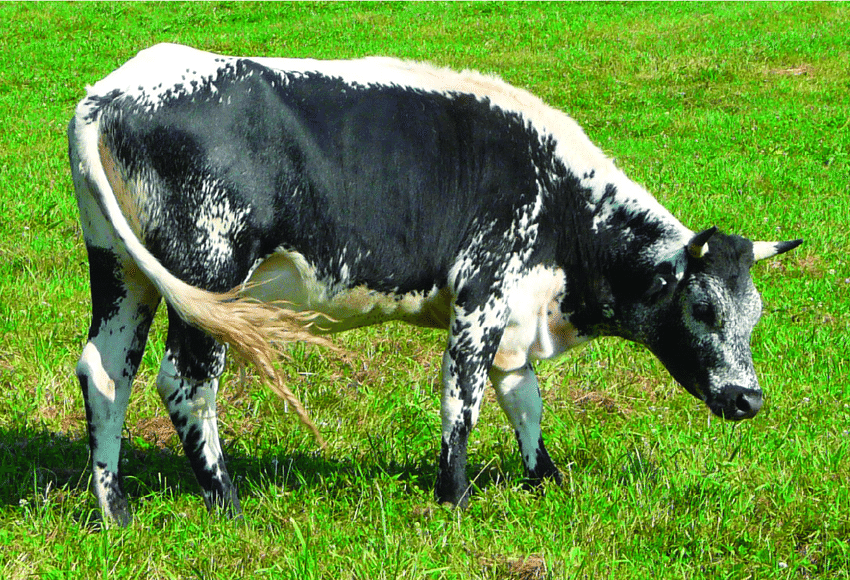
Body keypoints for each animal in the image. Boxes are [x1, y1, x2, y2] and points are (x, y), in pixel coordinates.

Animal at [69, 43, 801, 526]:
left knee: (105, 373)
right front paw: (456, 496)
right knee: (184, 382)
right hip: (208, 275)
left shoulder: (515, 314)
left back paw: (115, 510)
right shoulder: (483, 293)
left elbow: (523, 397)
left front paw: (544, 477)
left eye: (755, 313)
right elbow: (464, 397)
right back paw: (226, 501)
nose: (749, 399)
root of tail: (114, 91)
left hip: (121, 270)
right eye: (702, 308)